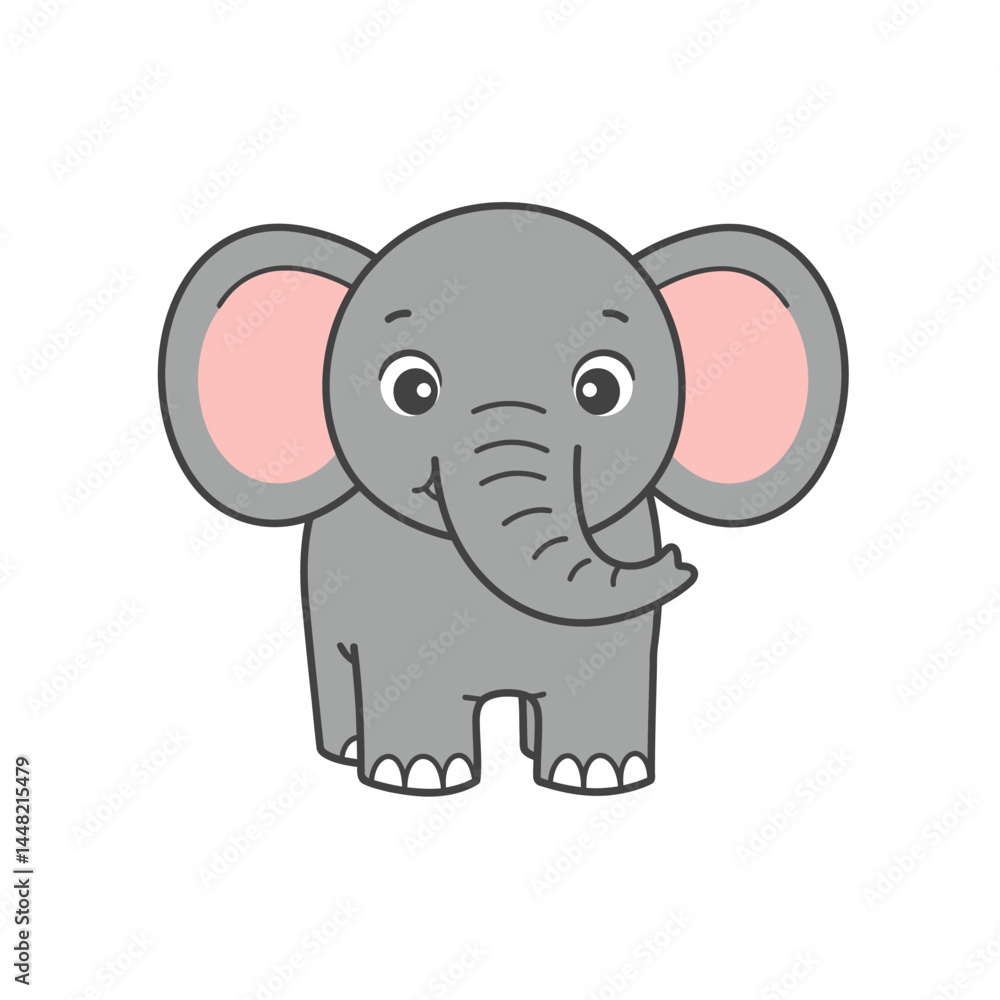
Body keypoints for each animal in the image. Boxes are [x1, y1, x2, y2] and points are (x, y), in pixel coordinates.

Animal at [159, 203, 846, 796]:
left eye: (602, 389)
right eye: (411, 389)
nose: (680, 559)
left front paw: (599, 775)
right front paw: (419, 777)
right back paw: (349, 751)